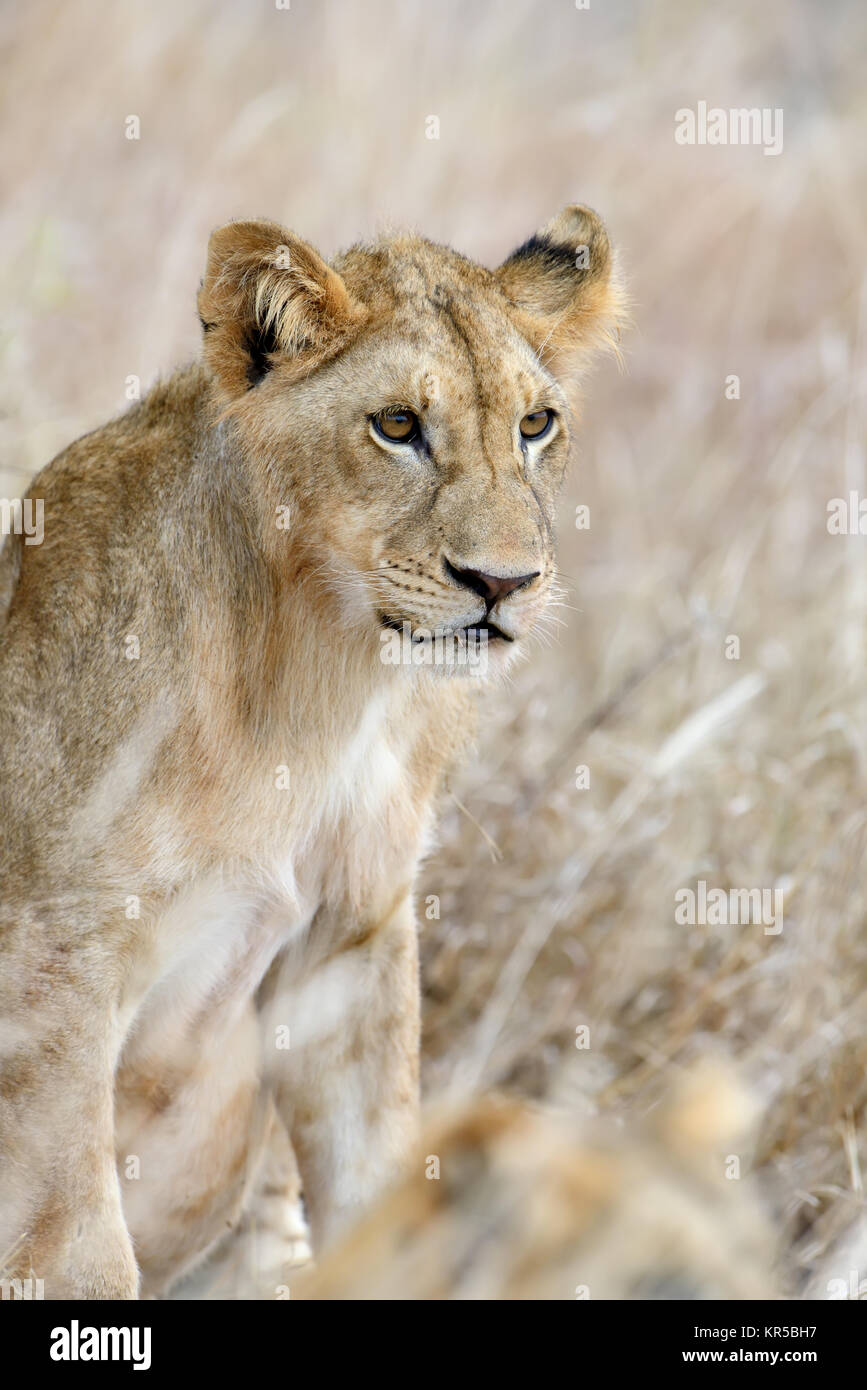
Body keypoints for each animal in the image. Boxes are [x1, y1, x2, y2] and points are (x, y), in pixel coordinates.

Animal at [0, 205, 622, 1301]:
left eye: (534, 425)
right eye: (397, 426)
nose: (504, 583)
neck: (329, 679)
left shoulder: (352, 935)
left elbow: (379, 1170)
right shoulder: (57, 954)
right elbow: (80, 1243)